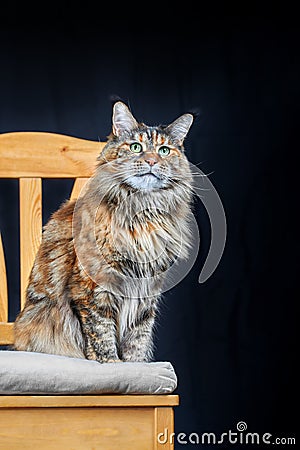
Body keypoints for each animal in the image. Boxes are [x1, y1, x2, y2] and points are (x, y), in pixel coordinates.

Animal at [14, 101, 195, 362]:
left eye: (163, 150)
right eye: (136, 147)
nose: (151, 161)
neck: (142, 214)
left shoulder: (148, 290)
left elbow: (138, 336)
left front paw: (135, 365)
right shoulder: (93, 287)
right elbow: (101, 330)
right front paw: (110, 362)